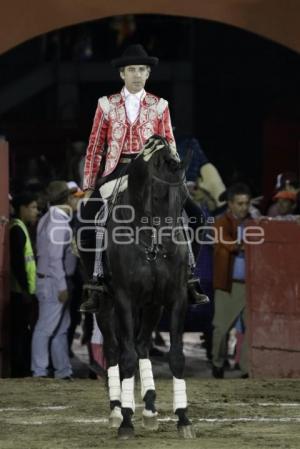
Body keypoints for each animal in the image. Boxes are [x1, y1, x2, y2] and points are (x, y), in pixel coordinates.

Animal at [95, 136, 196, 438]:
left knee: (141, 344)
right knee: (114, 349)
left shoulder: (175, 298)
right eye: (158, 195)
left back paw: (150, 408)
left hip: (152, 305)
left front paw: (183, 418)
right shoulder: (124, 299)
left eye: (184, 197)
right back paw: (117, 410)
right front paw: (126, 422)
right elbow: (126, 357)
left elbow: (177, 356)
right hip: (105, 305)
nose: (169, 245)